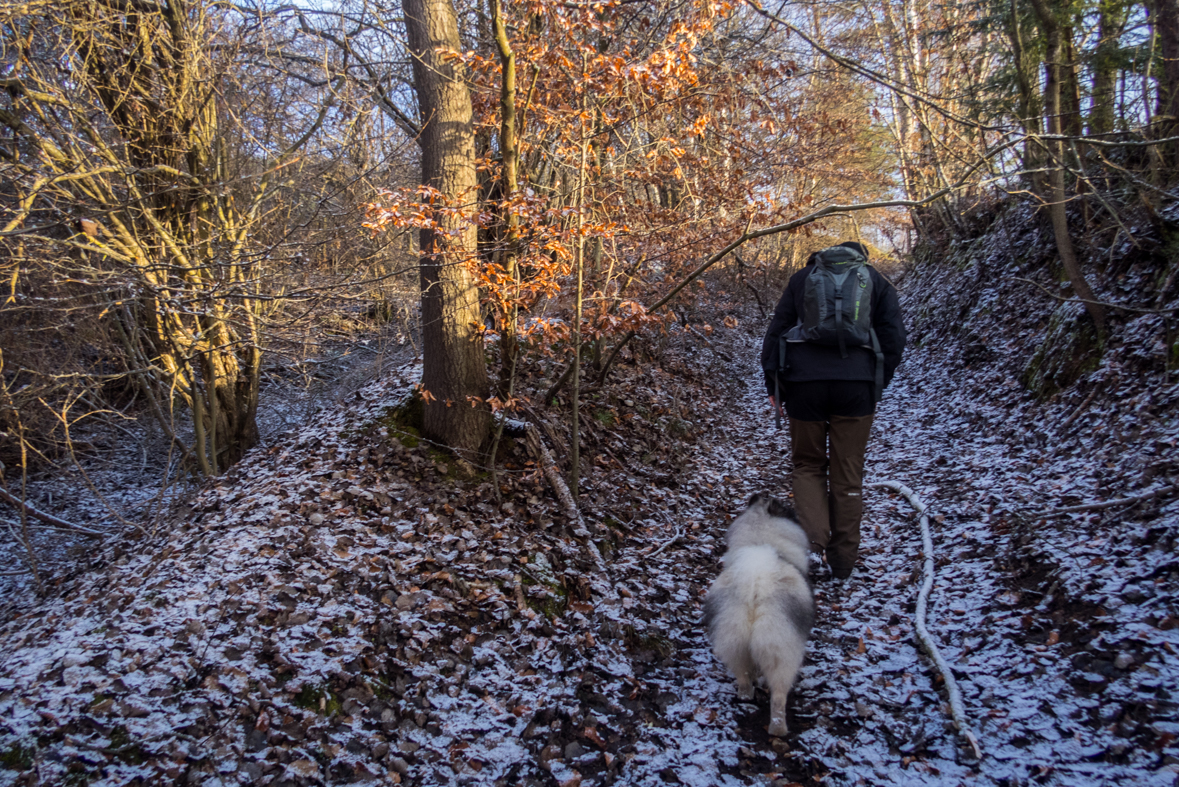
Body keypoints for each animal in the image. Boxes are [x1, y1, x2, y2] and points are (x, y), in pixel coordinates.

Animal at [702, 492, 815, 739]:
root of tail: (756, 584)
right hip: (781, 652)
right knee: (779, 696)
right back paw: (778, 729)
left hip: (734, 639)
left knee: (743, 675)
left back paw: (746, 695)